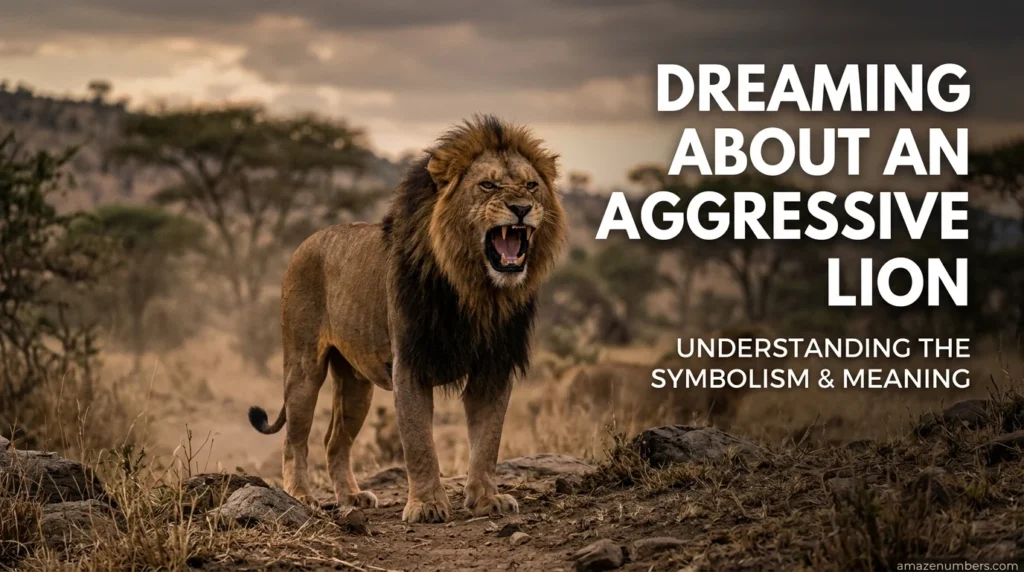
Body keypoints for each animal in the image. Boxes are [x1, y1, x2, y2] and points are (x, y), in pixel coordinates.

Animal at [248, 115, 567, 524]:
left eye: (531, 185)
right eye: (488, 185)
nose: (522, 208)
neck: (478, 291)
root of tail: (306, 243)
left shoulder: (494, 367)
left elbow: (487, 441)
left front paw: (486, 498)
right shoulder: (411, 363)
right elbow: (419, 443)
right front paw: (427, 505)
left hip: (355, 383)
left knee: (334, 440)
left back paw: (352, 496)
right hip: (304, 367)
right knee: (295, 439)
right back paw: (301, 496)